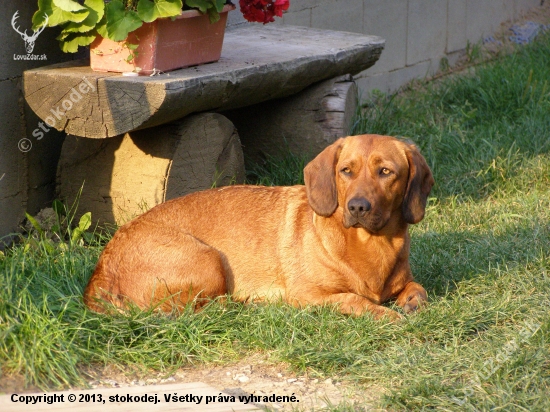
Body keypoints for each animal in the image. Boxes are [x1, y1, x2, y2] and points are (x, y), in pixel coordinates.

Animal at [83, 134, 436, 318]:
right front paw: (387, 315)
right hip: (209, 261)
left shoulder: (405, 279)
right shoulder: (308, 295)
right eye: (346, 170)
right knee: (185, 309)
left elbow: (419, 288)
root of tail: (100, 273)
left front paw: (410, 301)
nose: (358, 206)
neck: (369, 243)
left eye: (386, 172)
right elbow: (354, 299)